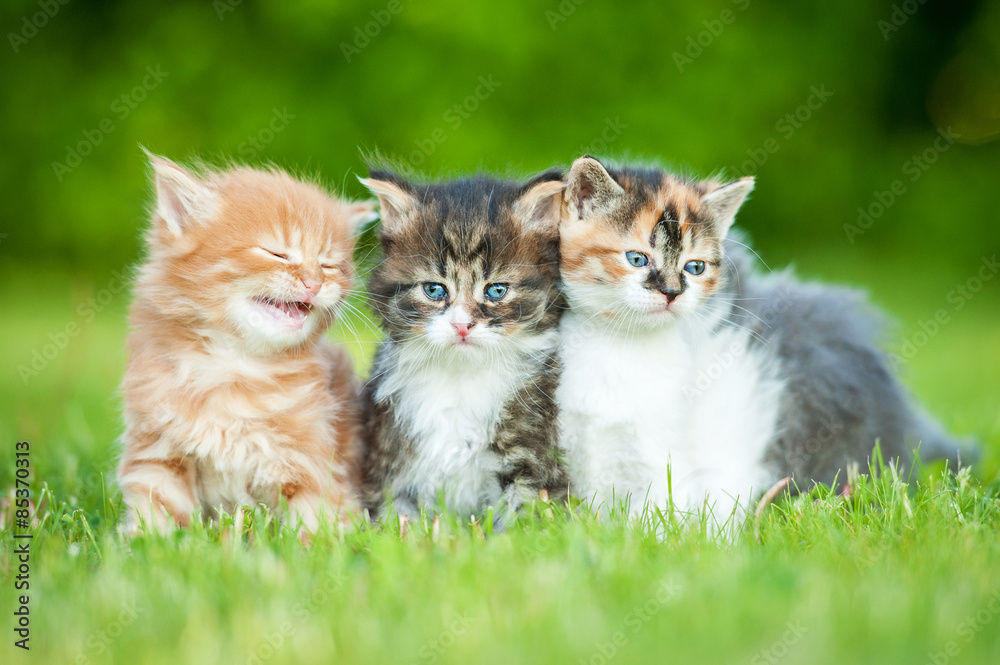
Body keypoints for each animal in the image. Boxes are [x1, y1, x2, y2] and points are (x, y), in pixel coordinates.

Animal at [117, 153, 376, 536]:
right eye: (277, 253)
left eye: (330, 265)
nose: (314, 282)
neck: (235, 364)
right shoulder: (157, 453)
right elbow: (156, 514)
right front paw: (143, 544)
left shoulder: (315, 464)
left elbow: (317, 525)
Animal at [360, 166, 568, 524]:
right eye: (434, 290)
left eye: (496, 290)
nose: (461, 325)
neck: (462, 378)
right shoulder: (392, 462)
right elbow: (395, 518)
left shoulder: (535, 463)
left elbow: (525, 520)